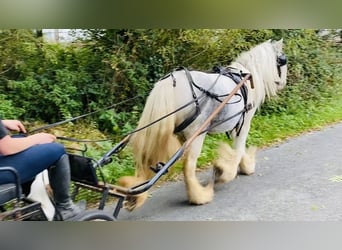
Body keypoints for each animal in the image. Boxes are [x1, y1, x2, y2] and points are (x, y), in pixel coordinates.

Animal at [119, 39, 288, 211]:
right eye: (283, 61)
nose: (283, 83)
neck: (244, 77)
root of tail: (171, 82)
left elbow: (238, 149)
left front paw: (242, 165)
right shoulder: (244, 122)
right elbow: (239, 149)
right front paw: (229, 171)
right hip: (197, 133)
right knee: (188, 166)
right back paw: (199, 196)